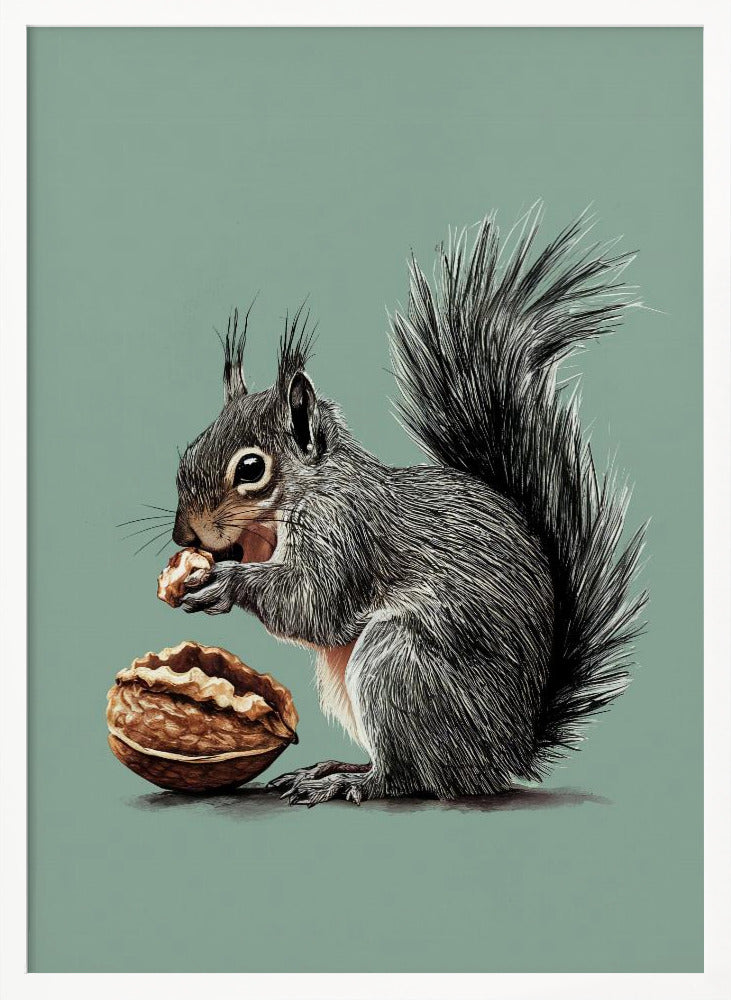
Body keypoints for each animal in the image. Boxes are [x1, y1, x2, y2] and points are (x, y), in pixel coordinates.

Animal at [171, 206, 647, 806]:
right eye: (191, 447)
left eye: (251, 469)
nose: (183, 537)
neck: (304, 495)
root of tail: (507, 756)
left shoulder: (347, 532)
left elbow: (313, 605)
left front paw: (225, 583)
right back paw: (334, 768)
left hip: (397, 666)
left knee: (407, 777)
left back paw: (350, 782)